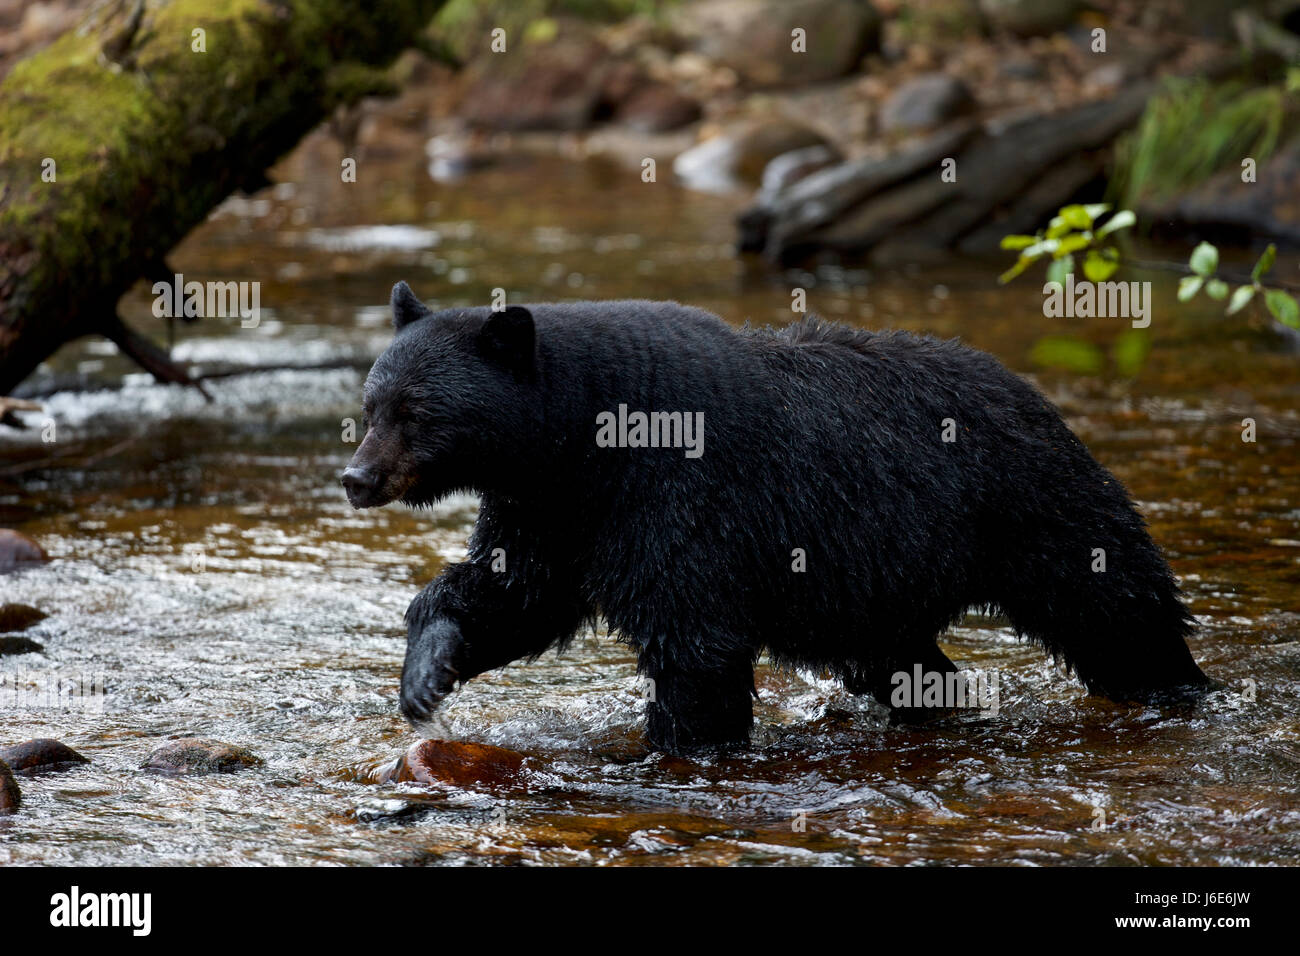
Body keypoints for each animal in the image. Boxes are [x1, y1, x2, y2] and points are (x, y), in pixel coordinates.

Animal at [340, 283, 1211, 754]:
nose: (356, 478)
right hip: (882, 585)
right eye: (372, 403)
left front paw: (680, 744)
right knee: (905, 659)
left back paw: (1180, 686)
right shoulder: (551, 509)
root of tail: (1036, 393)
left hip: (1033, 504)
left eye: (415, 411)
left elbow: (694, 638)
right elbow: (509, 593)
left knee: (1115, 606)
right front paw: (425, 675)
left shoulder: (678, 497)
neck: (584, 445)